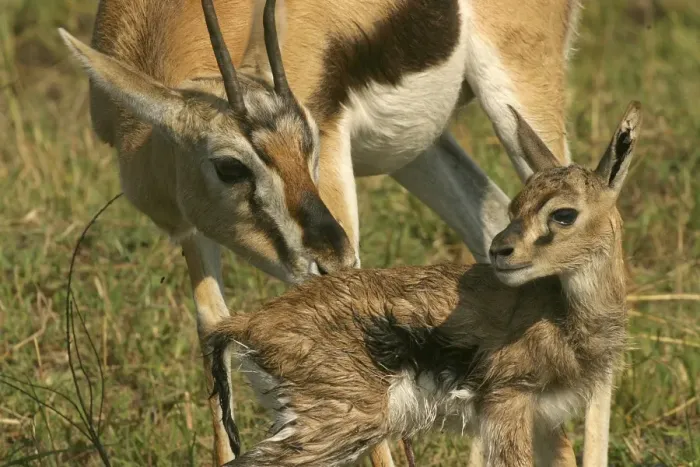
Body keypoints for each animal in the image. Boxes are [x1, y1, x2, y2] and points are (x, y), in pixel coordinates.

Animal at [206, 102, 641, 466]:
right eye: (516, 206)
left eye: (563, 213)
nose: (500, 250)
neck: (564, 318)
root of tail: (248, 324)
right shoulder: (509, 403)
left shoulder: (544, 419)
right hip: (334, 426)